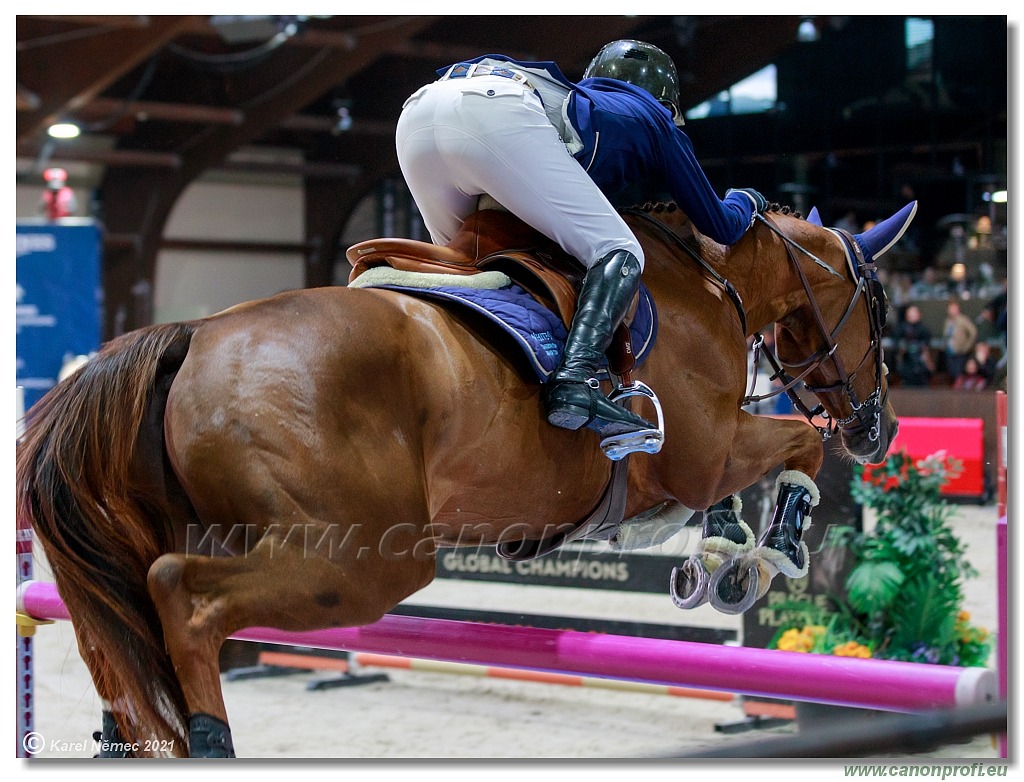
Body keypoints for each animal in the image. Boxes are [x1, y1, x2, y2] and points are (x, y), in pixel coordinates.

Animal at [16, 201, 913, 757]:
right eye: (878, 303)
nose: (880, 429)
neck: (714, 282)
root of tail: (192, 335)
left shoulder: (703, 461)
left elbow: (750, 479)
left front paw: (724, 551)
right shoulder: (709, 449)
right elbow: (797, 447)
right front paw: (767, 556)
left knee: (124, 640)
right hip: (362, 561)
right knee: (183, 597)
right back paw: (213, 742)